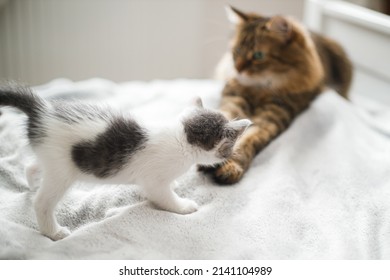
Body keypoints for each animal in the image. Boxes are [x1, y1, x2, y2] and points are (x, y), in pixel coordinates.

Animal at [0, 86, 251, 241]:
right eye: (229, 147)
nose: (230, 155)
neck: (182, 137)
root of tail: (42, 111)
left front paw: (175, 185)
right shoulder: (154, 181)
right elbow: (164, 197)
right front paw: (183, 206)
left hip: (50, 160)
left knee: (32, 166)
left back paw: (32, 184)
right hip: (62, 170)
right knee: (42, 202)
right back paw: (53, 232)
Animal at [201, 5, 354, 185]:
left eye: (258, 55)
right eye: (237, 51)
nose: (238, 69)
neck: (259, 89)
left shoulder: (272, 115)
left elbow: (247, 141)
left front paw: (231, 166)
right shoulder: (234, 99)